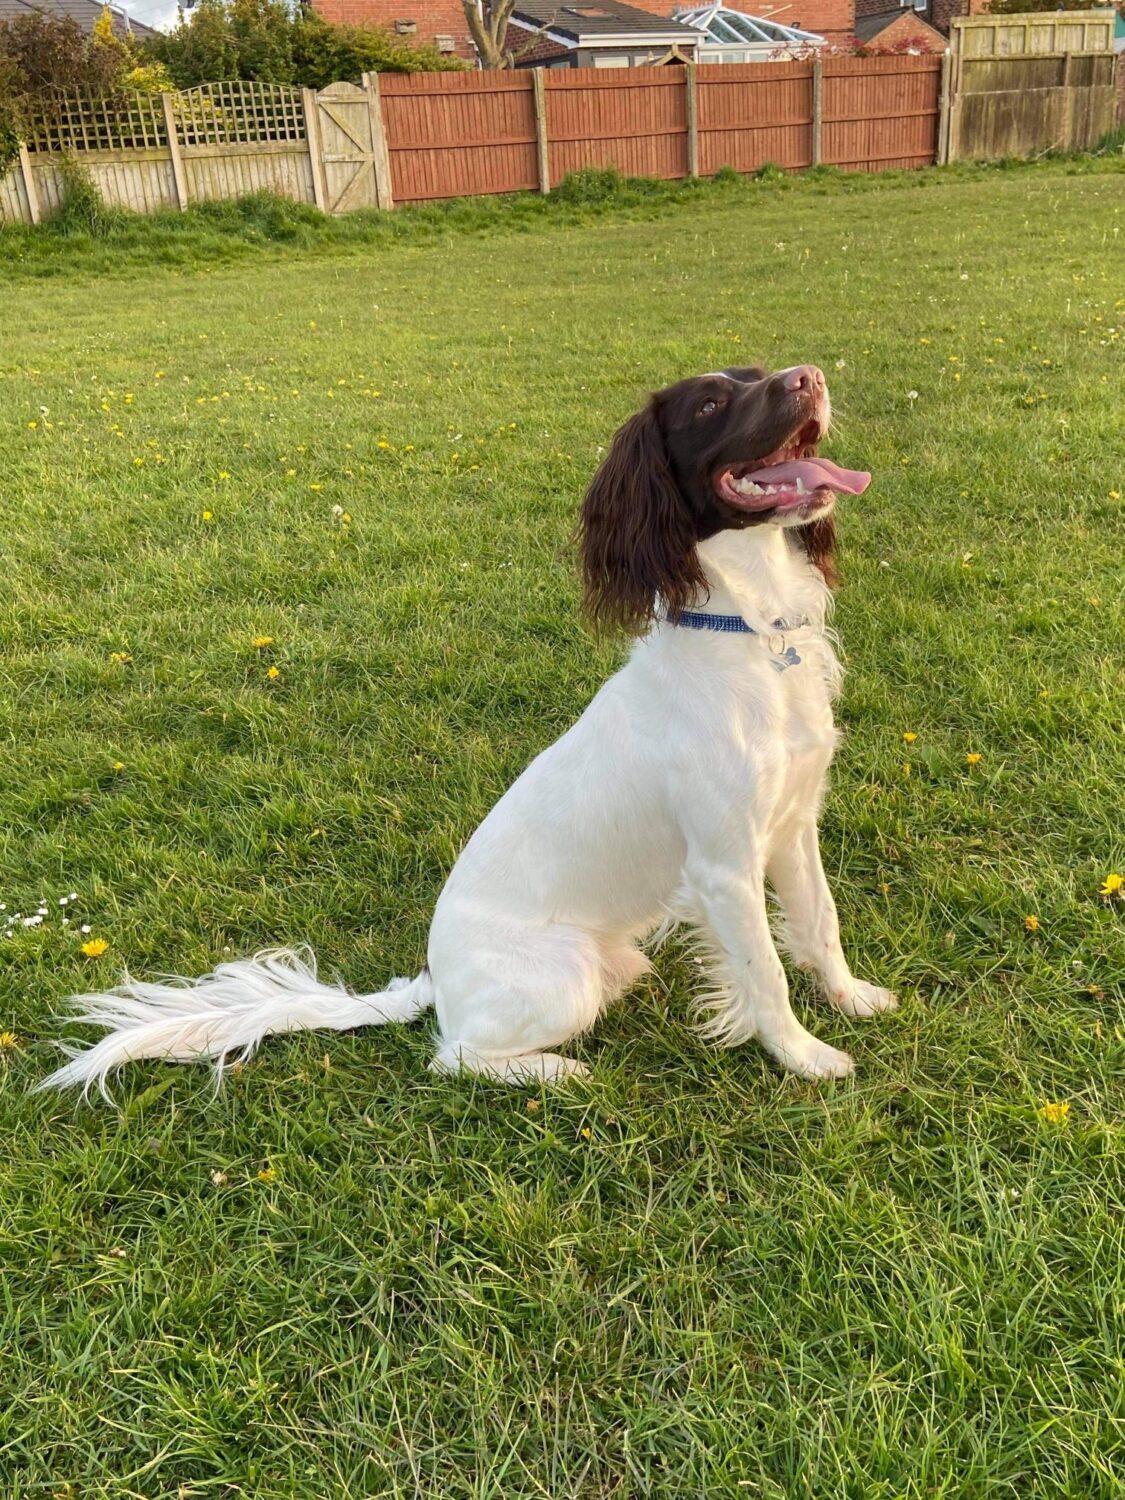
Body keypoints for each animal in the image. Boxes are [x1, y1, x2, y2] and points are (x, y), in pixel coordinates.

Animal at [40, 363, 896, 1096]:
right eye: (713, 402)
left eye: (759, 373)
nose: (809, 376)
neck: (752, 636)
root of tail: (435, 984)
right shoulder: (723, 864)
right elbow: (765, 972)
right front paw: (805, 1058)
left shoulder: (793, 825)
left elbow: (819, 924)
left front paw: (853, 998)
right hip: (565, 974)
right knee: (453, 1057)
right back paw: (557, 1072)